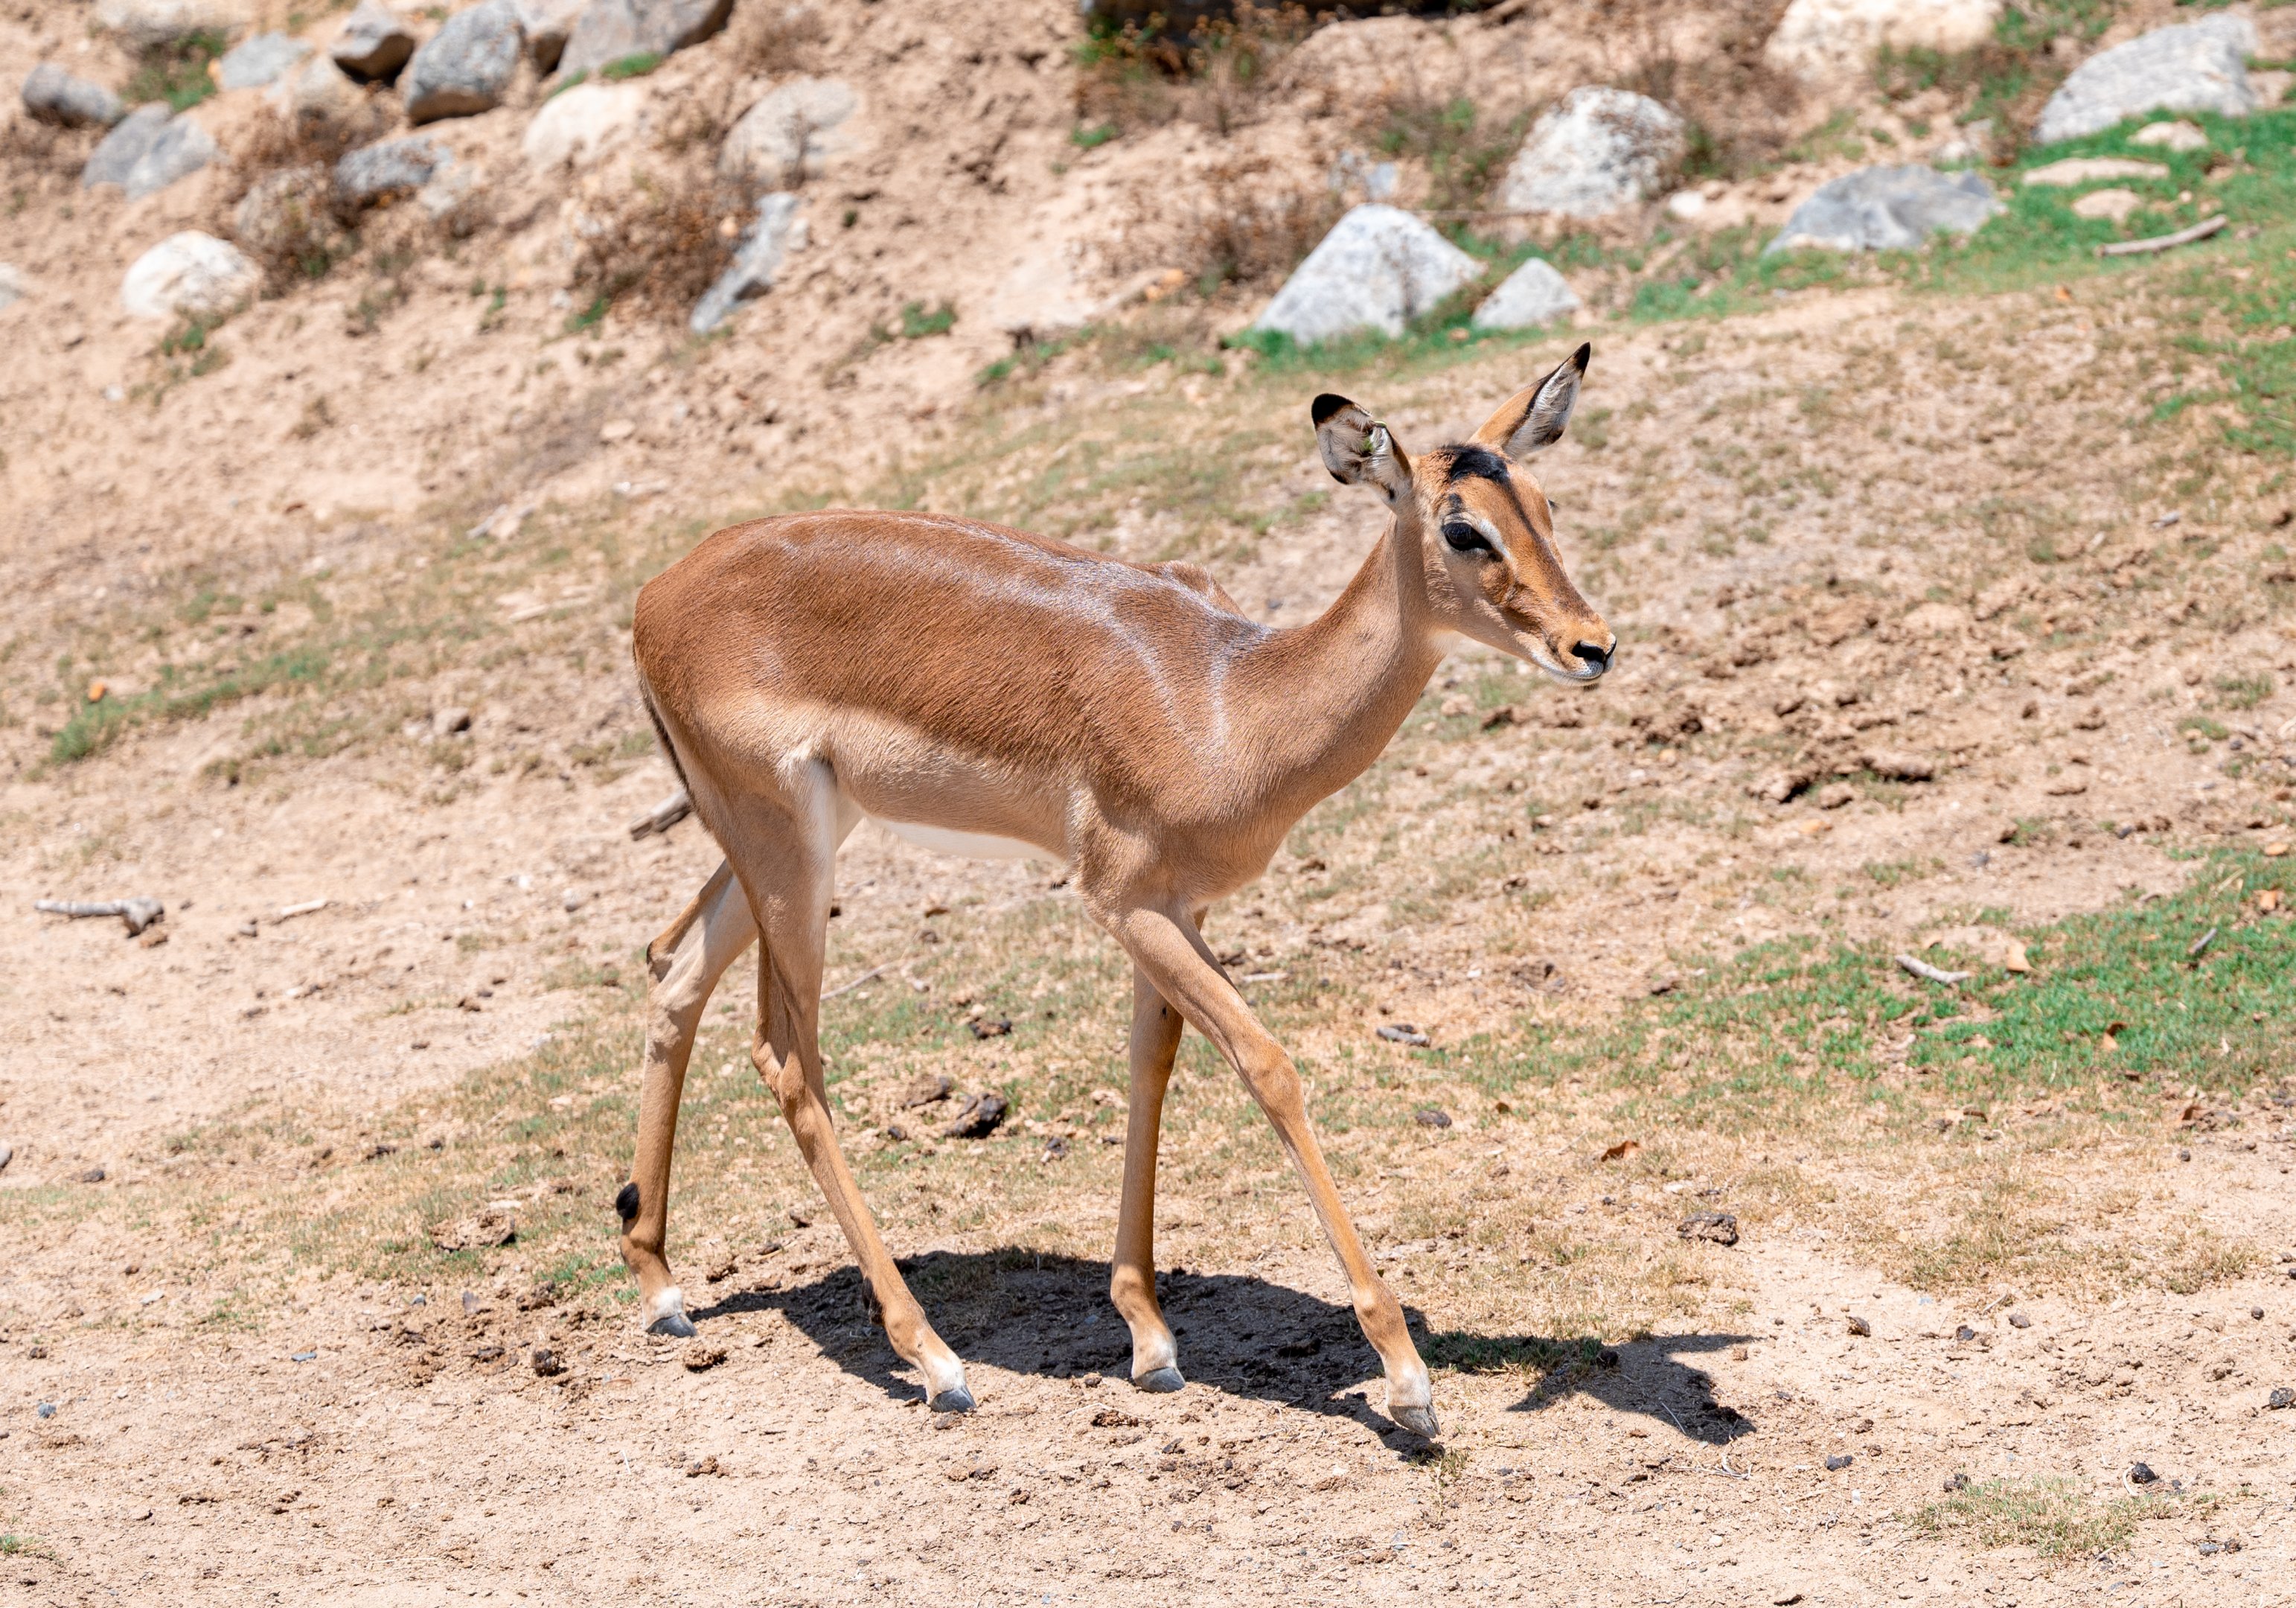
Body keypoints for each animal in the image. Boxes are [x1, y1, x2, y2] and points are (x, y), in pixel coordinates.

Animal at [618, 345, 1612, 1438]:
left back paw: (662, 1286)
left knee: (674, 968)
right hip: (790, 854)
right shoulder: (1121, 900)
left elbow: (1152, 1067)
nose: (1592, 645)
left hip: (783, 842)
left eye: (1544, 502)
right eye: (1462, 527)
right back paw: (936, 1361)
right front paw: (1406, 1380)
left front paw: (1149, 1339)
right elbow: (1268, 1064)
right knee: (787, 1056)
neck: (1229, 703)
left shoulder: (1177, 910)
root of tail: (653, 597)